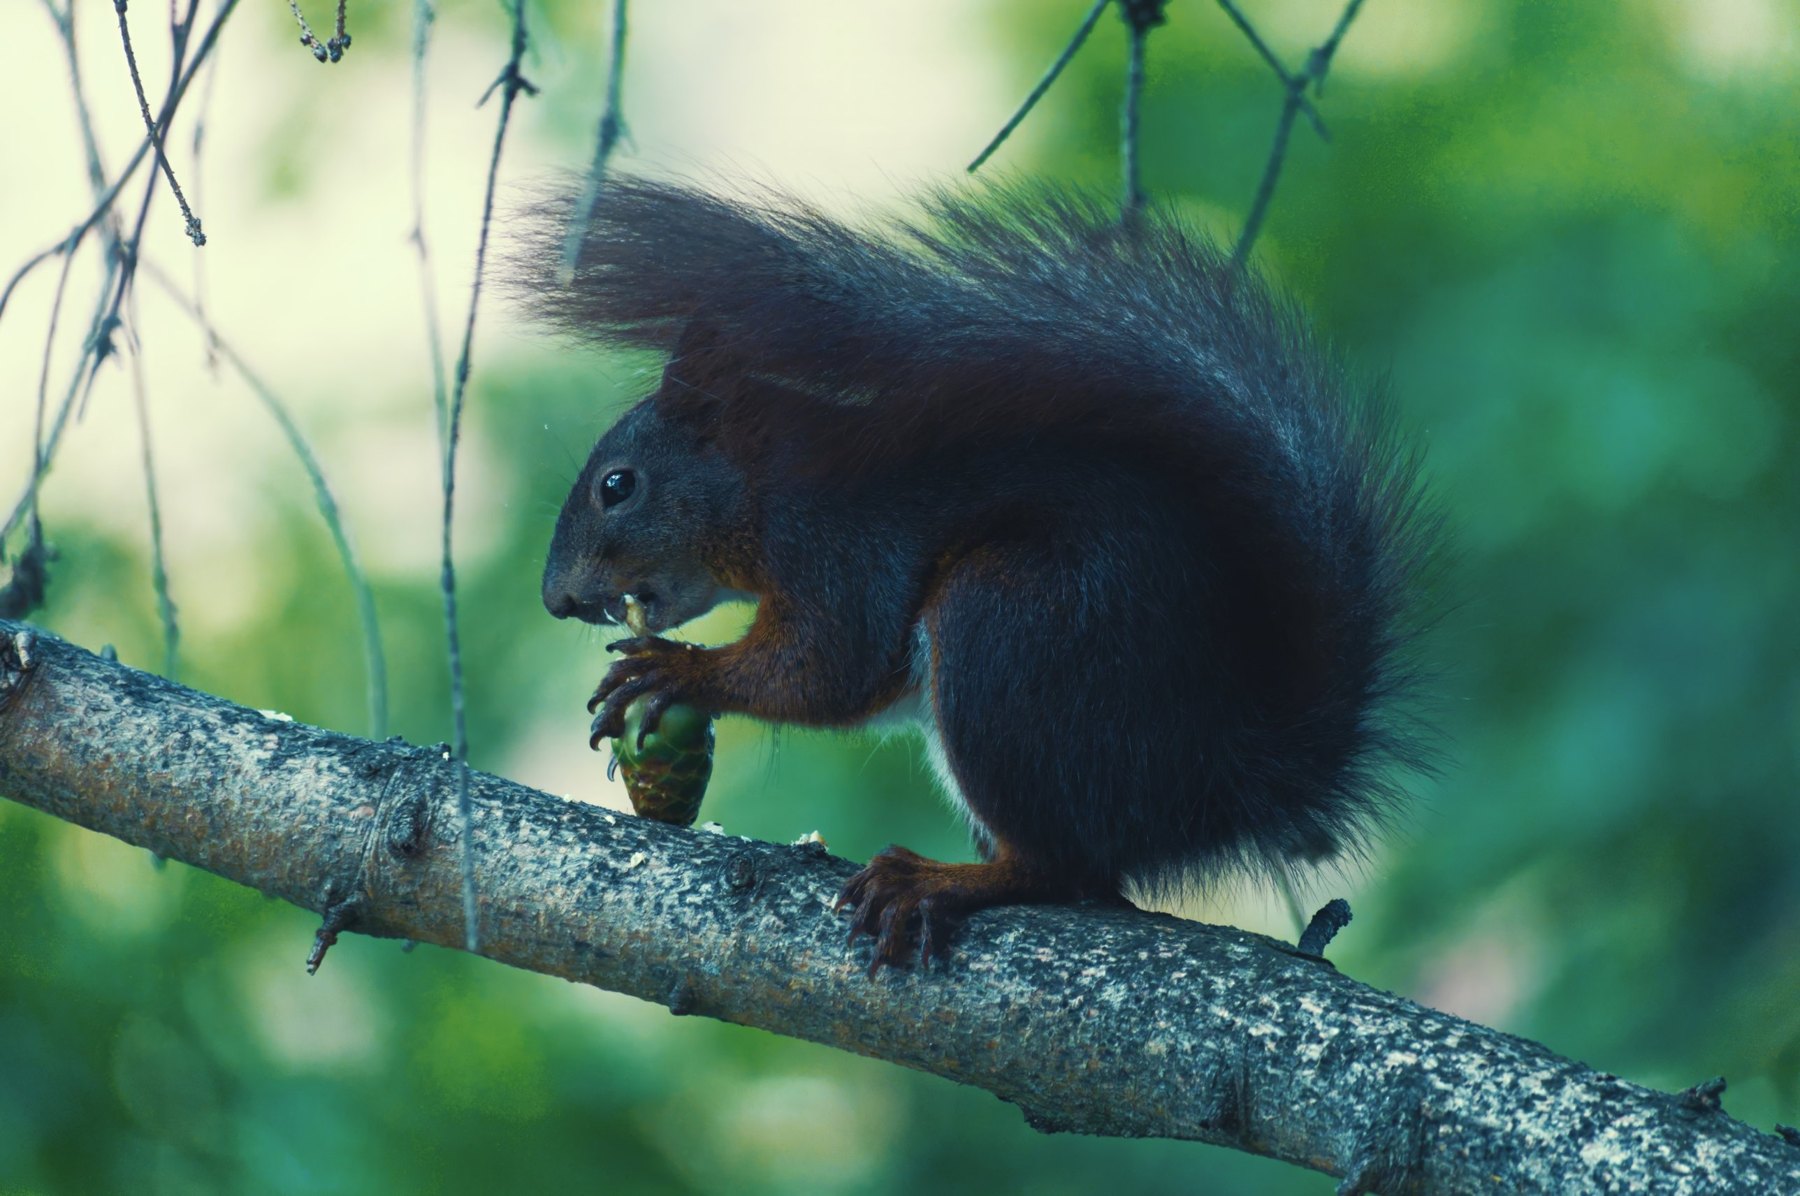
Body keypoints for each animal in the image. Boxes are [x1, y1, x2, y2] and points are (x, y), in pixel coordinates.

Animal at [521, 178, 1436, 972]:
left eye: (617, 486)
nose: (556, 601)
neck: (765, 482)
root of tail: (1216, 781)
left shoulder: (840, 546)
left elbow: (829, 667)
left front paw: (677, 670)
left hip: (1011, 623)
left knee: (1063, 869)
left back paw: (941, 880)